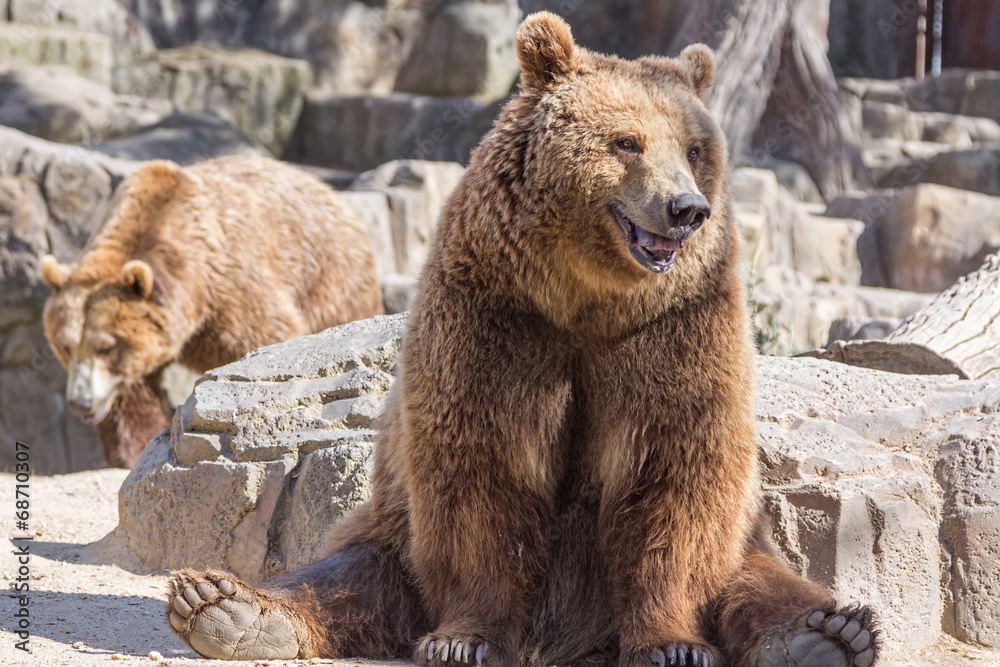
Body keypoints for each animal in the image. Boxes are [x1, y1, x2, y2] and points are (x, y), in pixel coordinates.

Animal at [41, 155, 384, 468]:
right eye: (65, 346)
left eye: (106, 347)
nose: (81, 402)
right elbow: (132, 394)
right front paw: (134, 449)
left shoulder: (228, 287)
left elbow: (265, 336)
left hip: (329, 275)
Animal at [164, 13, 879, 667]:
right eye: (628, 142)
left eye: (695, 149)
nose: (686, 209)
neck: (585, 297)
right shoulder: (498, 317)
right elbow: (483, 468)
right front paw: (463, 640)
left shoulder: (675, 328)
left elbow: (675, 470)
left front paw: (674, 644)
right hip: (394, 529)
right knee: (348, 575)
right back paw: (224, 607)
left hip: (748, 540)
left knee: (759, 581)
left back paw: (827, 633)